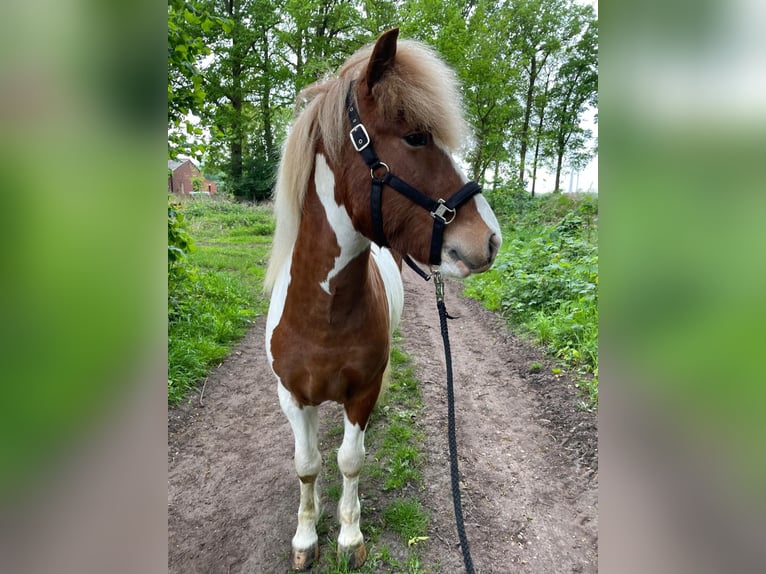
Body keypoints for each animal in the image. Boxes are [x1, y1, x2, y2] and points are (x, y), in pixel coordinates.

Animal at [264, 28, 504, 572]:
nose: (490, 239)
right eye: (415, 137)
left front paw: (349, 537)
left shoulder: (363, 391)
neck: (321, 314)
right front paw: (305, 537)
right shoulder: (293, 397)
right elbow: (307, 464)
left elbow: (350, 460)